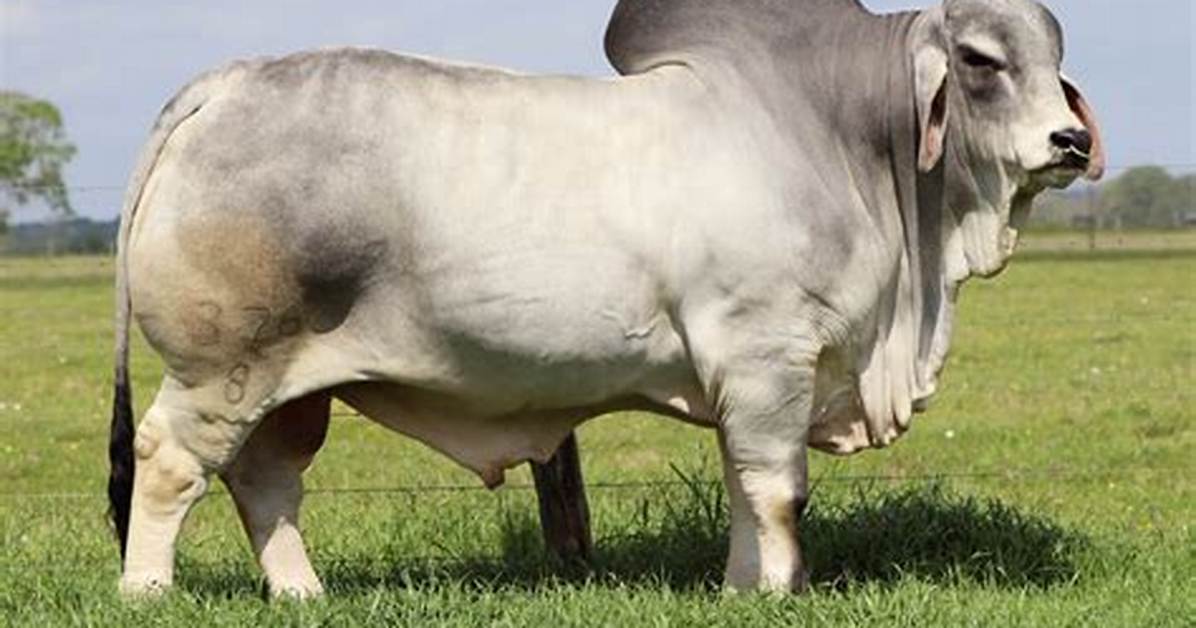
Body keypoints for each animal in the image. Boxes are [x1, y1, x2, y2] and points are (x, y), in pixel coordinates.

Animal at [108, 0, 1103, 597]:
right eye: (979, 58)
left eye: (1055, 56)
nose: (1068, 140)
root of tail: (228, 82)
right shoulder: (769, 355)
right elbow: (779, 492)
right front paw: (783, 588)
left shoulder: (752, 383)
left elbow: (744, 488)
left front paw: (742, 588)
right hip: (221, 367)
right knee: (168, 465)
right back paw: (147, 589)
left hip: (289, 388)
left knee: (265, 481)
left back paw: (302, 593)